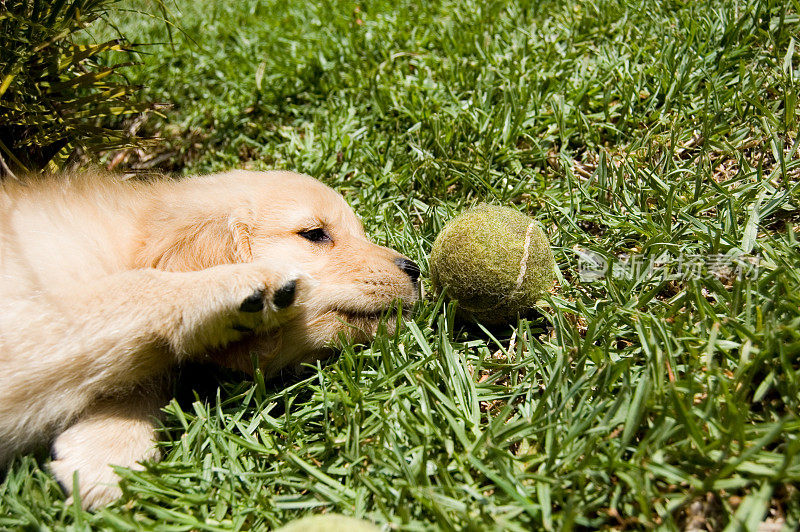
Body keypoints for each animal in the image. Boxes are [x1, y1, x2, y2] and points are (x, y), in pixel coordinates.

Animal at [0, 168, 422, 510]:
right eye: (315, 234)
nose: (415, 269)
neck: (127, 244)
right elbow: (131, 292)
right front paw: (242, 283)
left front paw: (106, 449)